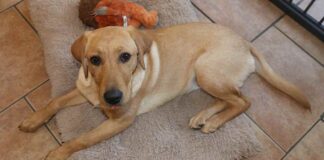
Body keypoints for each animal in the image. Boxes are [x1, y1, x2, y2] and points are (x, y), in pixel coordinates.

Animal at [19, 22, 310, 160]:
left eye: (126, 56)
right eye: (94, 59)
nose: (113, 98)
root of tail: (246, 43)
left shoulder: (121, 120)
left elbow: (82, 139)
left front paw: (58, 152)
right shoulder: (83, 90)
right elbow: (54, 102)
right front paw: (33, 120)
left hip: (206, 69)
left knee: (244, 101)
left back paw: (214, 122)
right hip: (205, 77)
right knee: (231, 98)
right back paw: (203, 117)